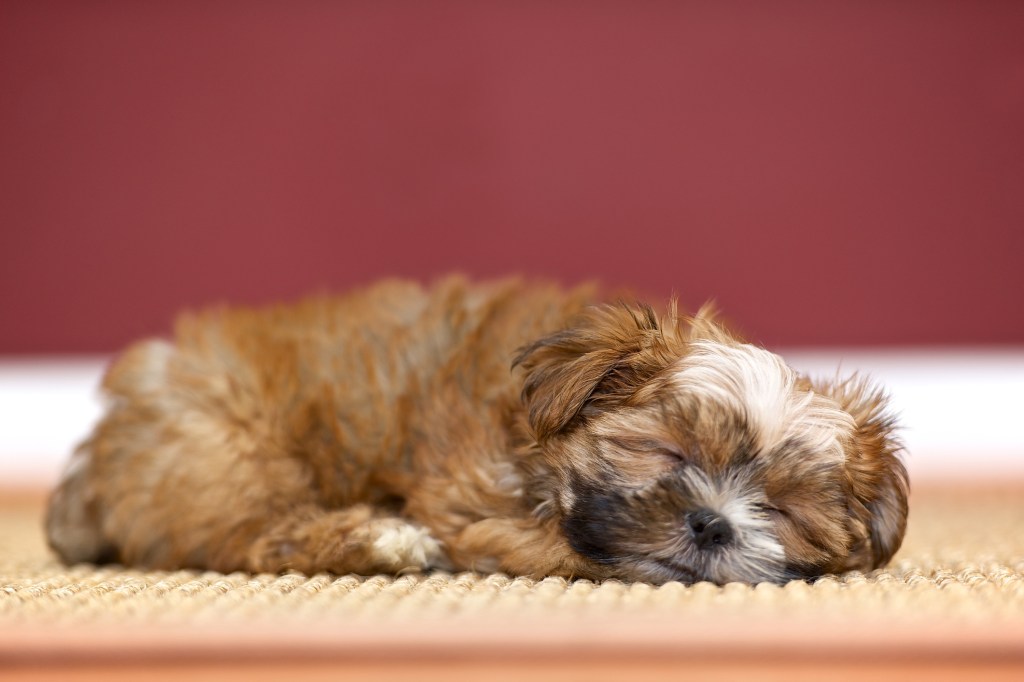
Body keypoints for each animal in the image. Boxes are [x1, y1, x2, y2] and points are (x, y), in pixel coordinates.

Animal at [44, 276, 909, 585]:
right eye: (667, 452)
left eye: (781, 509)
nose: (712, 524)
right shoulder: (471, 507)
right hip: (232, 458)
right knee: (257, 537)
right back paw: (379, 542)